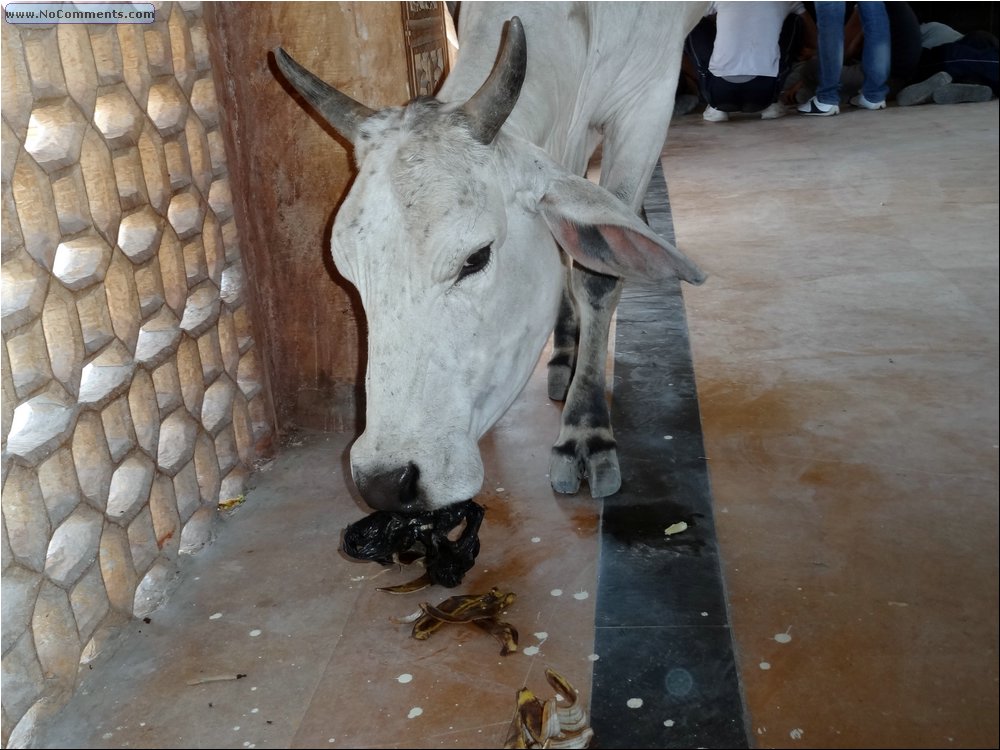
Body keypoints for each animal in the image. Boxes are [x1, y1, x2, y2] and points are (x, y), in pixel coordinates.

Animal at [276, 0, 712, 516]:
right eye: (346, 270)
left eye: (475, 257)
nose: (385, 482)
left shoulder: (648, 101)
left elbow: (597, 277)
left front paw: (585, 433)